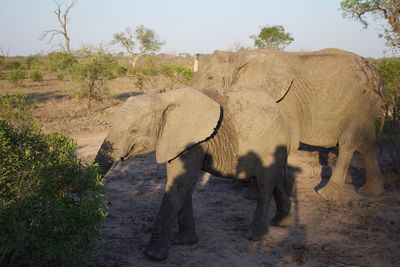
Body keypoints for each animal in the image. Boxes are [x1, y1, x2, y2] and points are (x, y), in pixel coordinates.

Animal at [94, 88, 294, 262]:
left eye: (134, 131)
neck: (164, 98)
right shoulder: (181, 144)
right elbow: (186, 185)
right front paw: (185, 242)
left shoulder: (190, 142)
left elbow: (179, 185)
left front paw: (152, 256)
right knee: (277, 180)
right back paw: (283, 222)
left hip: (269, 144)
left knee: (264, 184)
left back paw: (254, 235)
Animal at [191, 49, 384, 202]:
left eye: (210, 77)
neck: (240, 56)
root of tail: (377, 75)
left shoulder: (284, 101)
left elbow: (285, 143)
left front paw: (256, 195)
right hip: (367, 104)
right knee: (367, 144)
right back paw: (371, 192)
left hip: (360, 103)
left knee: (349, 142)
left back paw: (326, 194)